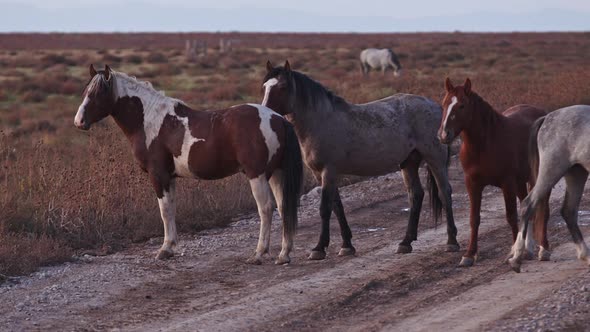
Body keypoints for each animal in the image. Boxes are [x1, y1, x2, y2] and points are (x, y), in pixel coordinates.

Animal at [75, 65, 306, 264]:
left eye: (97, 93)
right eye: (85, 90)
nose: (79, 121)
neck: (150, 120)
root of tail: (277, 119)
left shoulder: (158, 175)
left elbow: (164, 210)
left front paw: (164, 249)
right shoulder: (169, 177)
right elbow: (171, 208)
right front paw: (170, 246)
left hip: (256, 175)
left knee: (266, 208)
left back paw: (258, 254)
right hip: (276, 173)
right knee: (284, 206)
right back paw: (283, 254)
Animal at [264, 60, 462, 260]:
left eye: (282, 86)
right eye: (265, 86)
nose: (266, 112)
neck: (322, 121)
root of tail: (437, 107)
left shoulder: (329, 171)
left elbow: (325, 208)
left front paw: (319, 248)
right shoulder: (322, 174)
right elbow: (337, 206)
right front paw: (346, 245)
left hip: (435, 159)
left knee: (444, 192)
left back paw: (451, 241)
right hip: (409, 163)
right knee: (416, 195)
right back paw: (405, 242)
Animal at [440, 77, 552, 268]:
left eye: (462, 105)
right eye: (444, 103)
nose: (444, 135)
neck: (485, 144)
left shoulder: (507, 183)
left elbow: (511, 216)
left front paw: (514, 253)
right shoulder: (472, 184)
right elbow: (474, 219)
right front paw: (469, 255)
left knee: (543, 208)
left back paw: (543, 250)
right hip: (521, 182)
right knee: (527, 206)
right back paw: (528, 248)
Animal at [508, 105, 590, 272]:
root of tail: (547, 118)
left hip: (577, 173)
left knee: (569, 211)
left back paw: (585, 255)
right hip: (551, 170)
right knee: (527, 205)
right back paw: (517, 257)